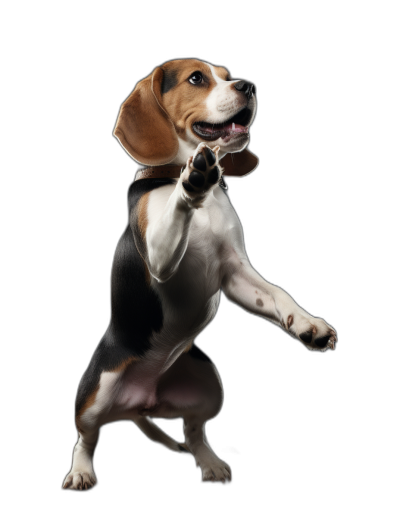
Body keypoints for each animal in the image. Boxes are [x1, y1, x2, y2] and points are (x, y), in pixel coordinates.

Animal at [62, 58, 338, 490]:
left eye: (227, 75)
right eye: (197, 78)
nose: (249, 85)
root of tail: (145, 402)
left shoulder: (236, 274)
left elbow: (278, 293)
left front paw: (309, 325)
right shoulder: (160, 260)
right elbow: (179, 206)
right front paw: (191, 182)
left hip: (209, 383)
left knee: (194, 431)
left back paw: (210, 462)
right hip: (93, 397)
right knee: (86, 438)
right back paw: (80, 471)